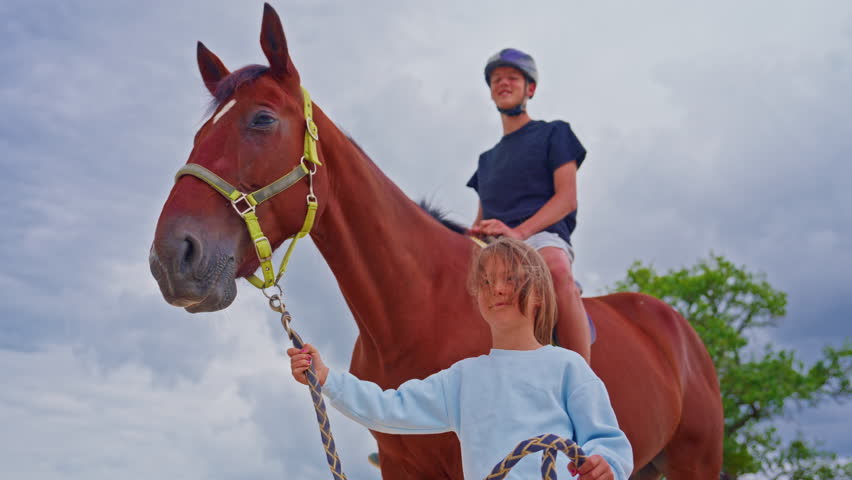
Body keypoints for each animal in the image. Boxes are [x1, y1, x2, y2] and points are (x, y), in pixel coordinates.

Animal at [149, 4, 723, 479]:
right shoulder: (403, 465)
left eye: (263, 119)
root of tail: (676, 328)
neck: (418, 310)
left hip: (694, 461)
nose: (171, 257)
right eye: (199, 135)